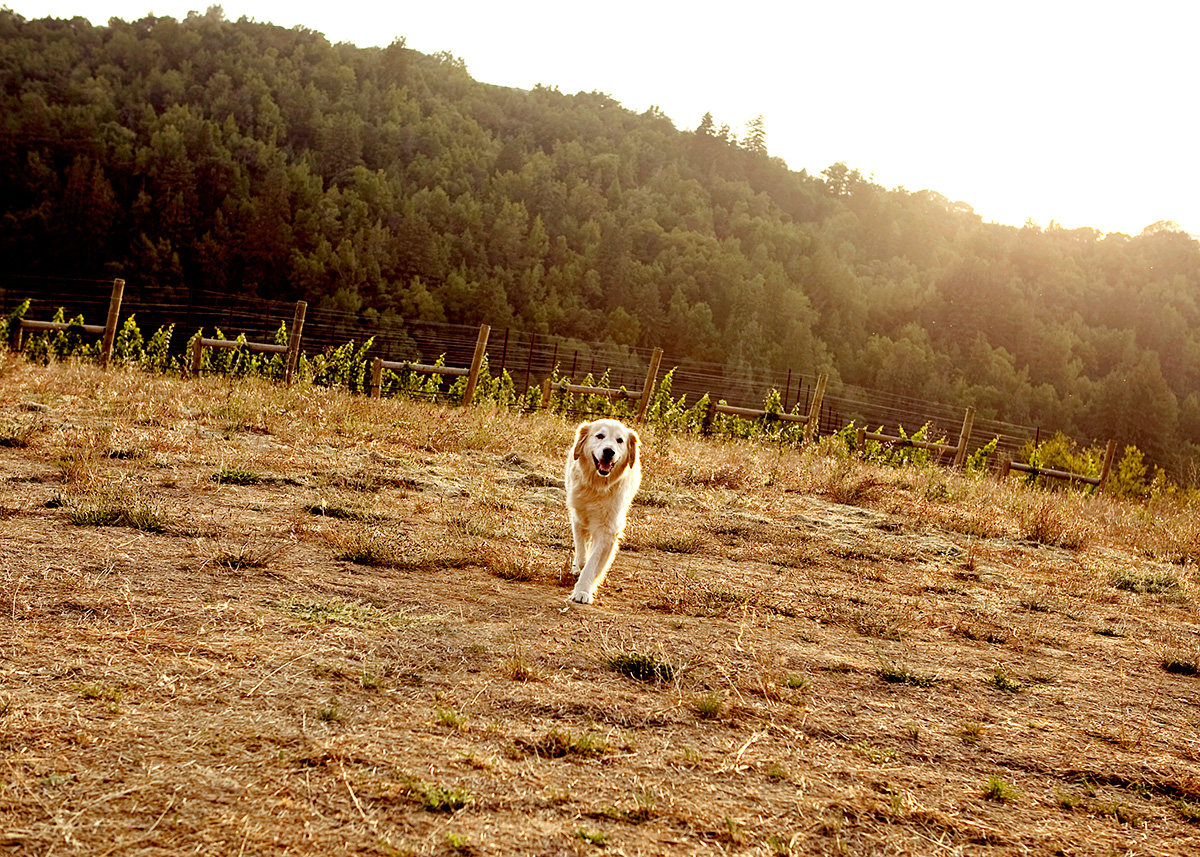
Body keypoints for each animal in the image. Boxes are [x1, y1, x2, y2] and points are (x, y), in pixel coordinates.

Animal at [564, 415, 643, 600]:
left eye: (620, 440)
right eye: (600, 436)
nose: (609, 451)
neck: (597, 486)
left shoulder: (609, 528)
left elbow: (593, 562)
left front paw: (583, 590)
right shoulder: (578, 517)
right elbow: (582, 552)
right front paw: (579, 568)